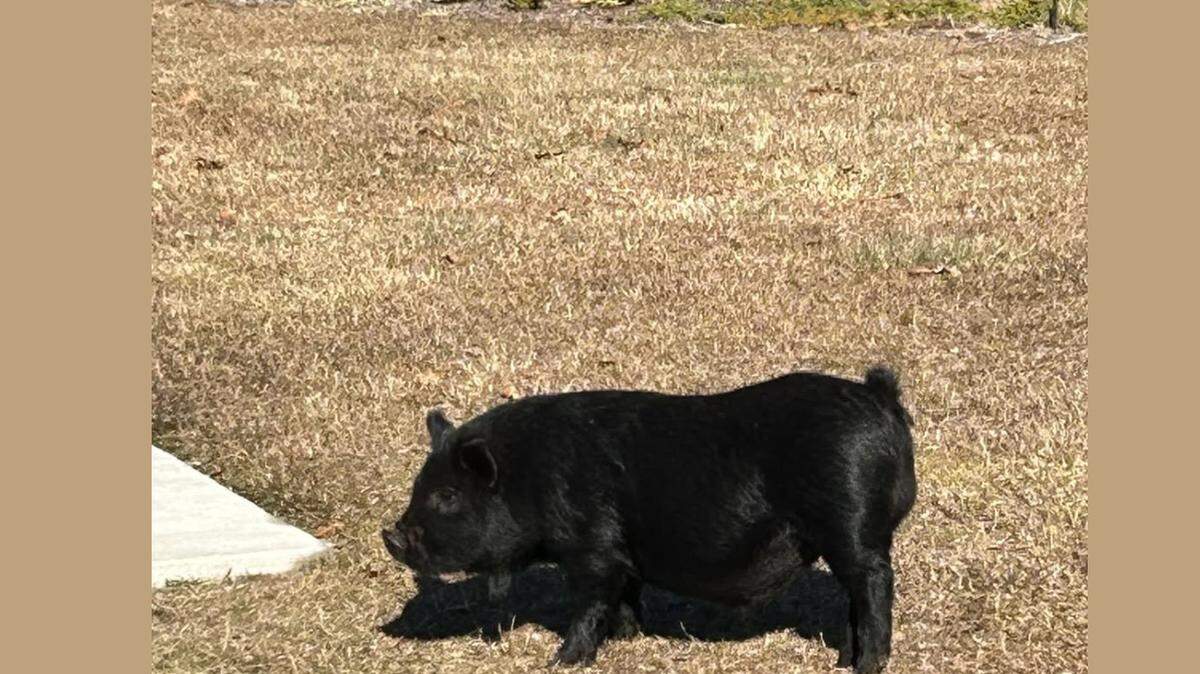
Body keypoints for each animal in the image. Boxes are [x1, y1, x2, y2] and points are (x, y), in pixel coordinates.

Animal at [382, 366, 916, 673]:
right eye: (419, 484)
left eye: (448, 494)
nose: (390, 535)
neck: (531, 476)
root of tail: (879, 396)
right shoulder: (622, 556)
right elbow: (623, 595)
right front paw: (628, 635)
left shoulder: (592, 547)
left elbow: (590, 602)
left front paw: (560, 661)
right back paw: (843, 661)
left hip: (852, 525)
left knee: (875, 584)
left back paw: (867, 665)